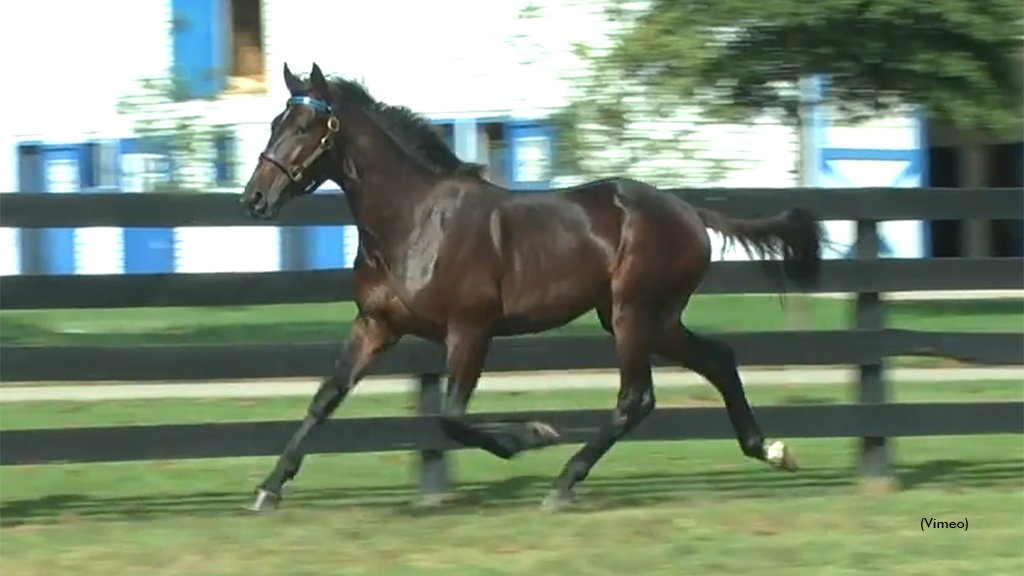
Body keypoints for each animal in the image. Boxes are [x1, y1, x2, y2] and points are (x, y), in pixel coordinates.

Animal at [239, 63, 823, 510]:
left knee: (636, 398)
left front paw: (533, 435)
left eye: (306, 127)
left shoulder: (470, 330)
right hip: (650, 317)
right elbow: (325, 399)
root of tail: (689, 212)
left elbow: (451, 419)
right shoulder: (377, 325)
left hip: (633, 314)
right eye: (275, 122)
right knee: (718, 359)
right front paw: (268, 489)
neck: (414, 220)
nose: (254, 199)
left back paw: (564, 482)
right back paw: (771, 450)